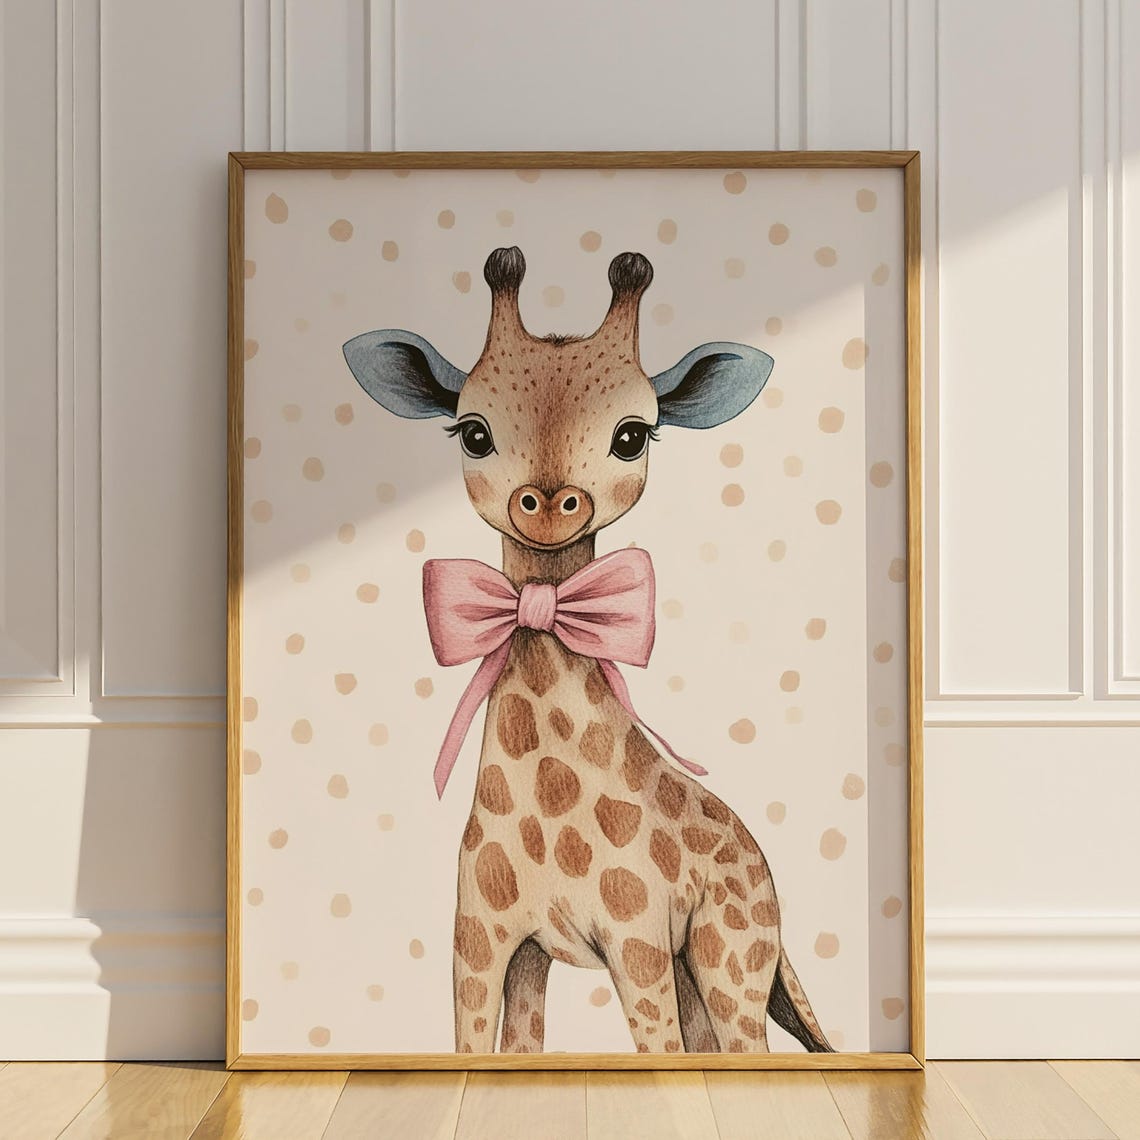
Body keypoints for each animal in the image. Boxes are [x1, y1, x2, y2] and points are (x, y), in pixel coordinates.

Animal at [344, 246, 833, 1055]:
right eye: (472, 431)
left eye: (632, 434)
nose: (547, 503)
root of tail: (762, 866)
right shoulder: (490, 946)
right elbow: (497, 1049)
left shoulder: (636, 945)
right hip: (697, 973)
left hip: (728, 957)